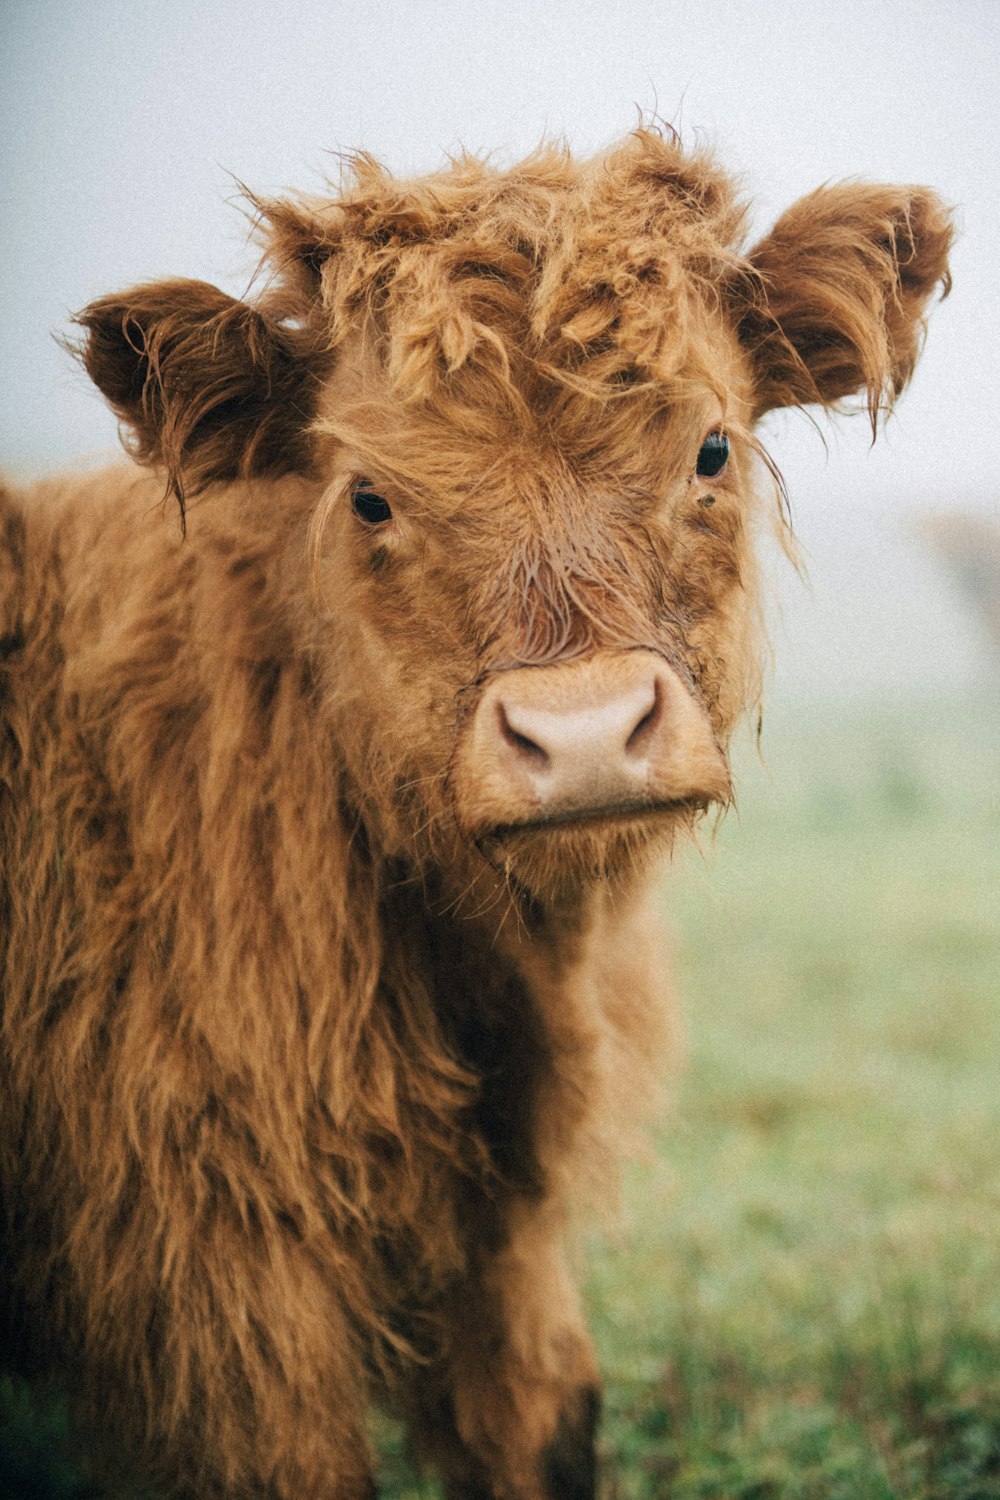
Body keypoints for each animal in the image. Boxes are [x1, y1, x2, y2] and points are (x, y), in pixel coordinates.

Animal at [0, 132, 953, 1500]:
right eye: (367, 496)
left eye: (710, 450)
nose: (584, 734)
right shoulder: (214, 1282)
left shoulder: (508, 1245)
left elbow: (547, 1425)